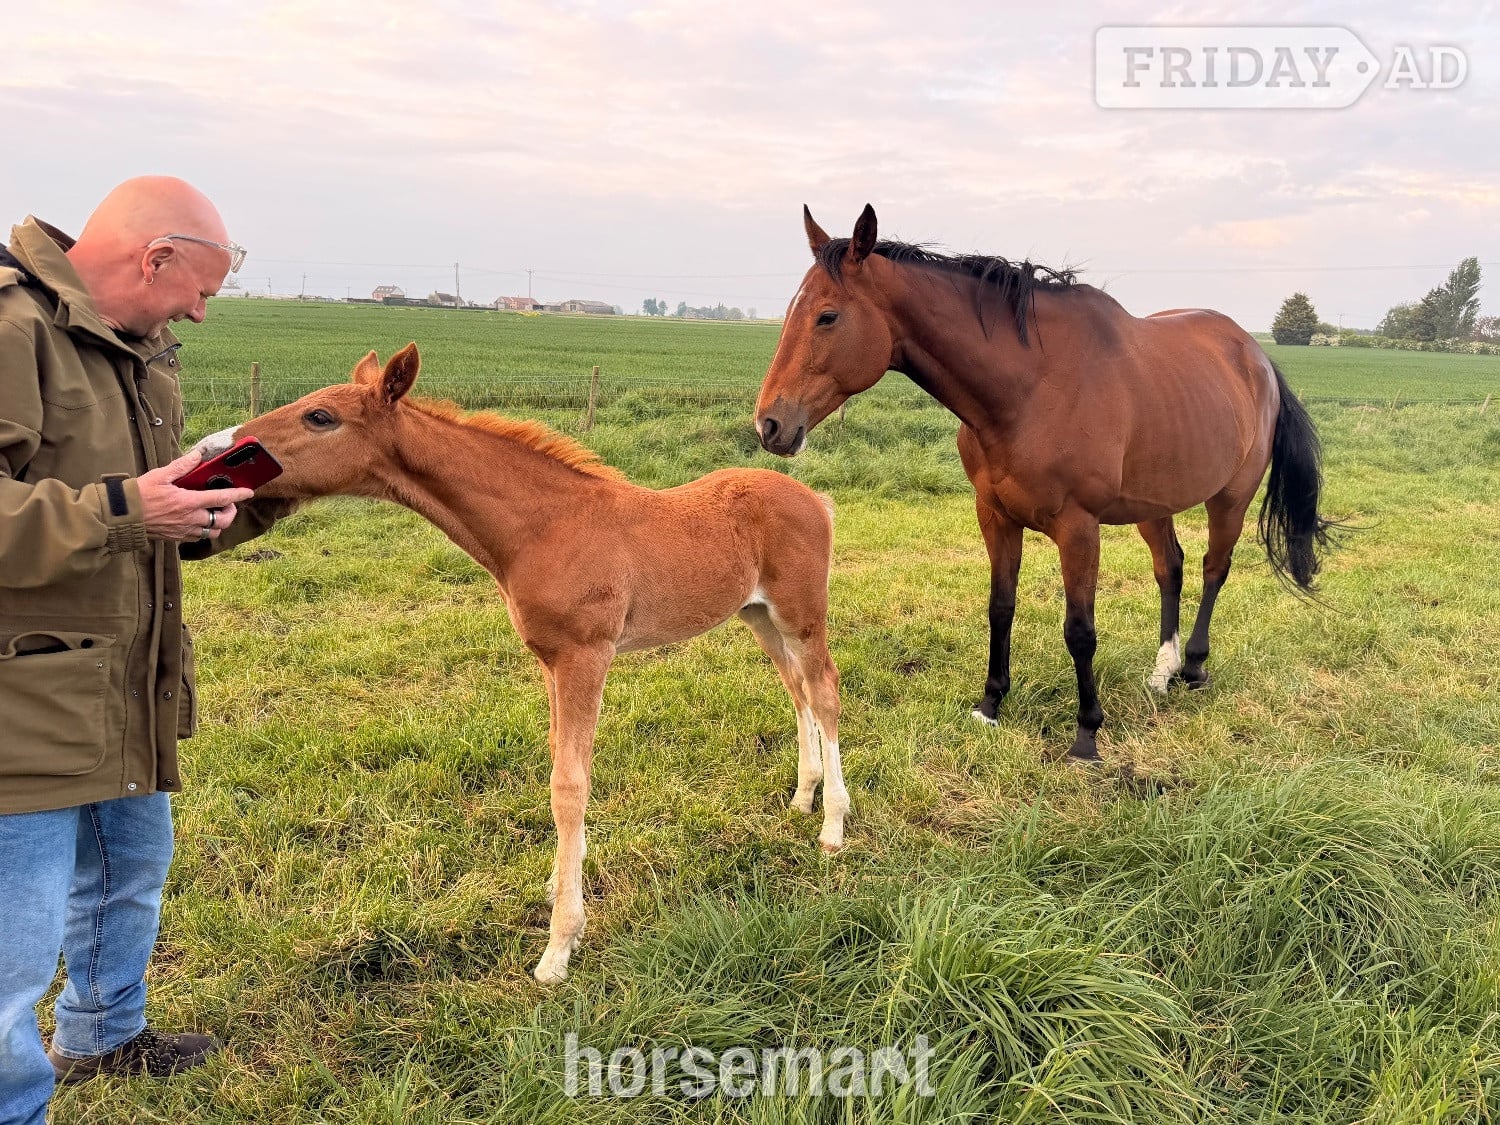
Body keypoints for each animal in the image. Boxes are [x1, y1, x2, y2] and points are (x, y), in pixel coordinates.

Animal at [205, 344, 848, 983]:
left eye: (320, 417)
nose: (213, 449)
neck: (543, 527)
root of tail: (815, 498)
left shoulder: (585, 656)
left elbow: (569, 784)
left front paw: (560, 945)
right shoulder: (549, 662)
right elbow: (557, 764)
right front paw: (561, 883)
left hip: (801, 614)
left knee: (824, 692)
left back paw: (833, 827)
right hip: (758, 615)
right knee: (796, 690)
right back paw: (802, 796)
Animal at [755, 205, 1335, 763]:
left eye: (827, 316)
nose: (770, 424)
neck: (1031, 388)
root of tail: (1257, 357)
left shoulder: (1079, 529)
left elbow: (1080, 631)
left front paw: (1087, 734)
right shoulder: (995, 516)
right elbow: (1000, 607)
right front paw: (990, 703)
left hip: (1230, 497)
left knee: (1215, 569)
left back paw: (1193, 668)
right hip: (1155, 503)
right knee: (1170, 568)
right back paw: (1162, 672)